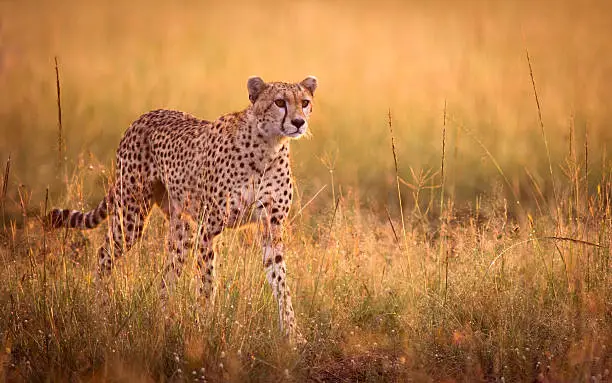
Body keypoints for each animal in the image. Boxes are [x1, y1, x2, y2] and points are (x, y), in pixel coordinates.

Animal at [45, 76, 318, 344]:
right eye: (279, 102)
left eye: (304, 102)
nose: (298, 122)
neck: (268, 146)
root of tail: (145, 115)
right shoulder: (209, 228)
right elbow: (207, 282)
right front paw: (206, 327)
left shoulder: (271, 225)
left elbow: (280, 280)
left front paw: (292, 334)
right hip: (131, 216)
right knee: (104, 255)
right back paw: (100, 312)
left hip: (182, 229)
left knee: (167, 276)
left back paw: (164, 323)